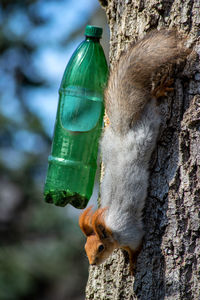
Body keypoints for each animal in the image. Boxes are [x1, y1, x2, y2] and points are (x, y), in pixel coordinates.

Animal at [79, 29, 190, 276]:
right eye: (85, 248)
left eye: (100, 247)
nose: (92, 263)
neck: (110, 227)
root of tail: (123, 130)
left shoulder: (131, 232)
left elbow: (137, 247)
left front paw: (132, 263)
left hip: (148, 127)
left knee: (151, 104)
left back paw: (158, 90)